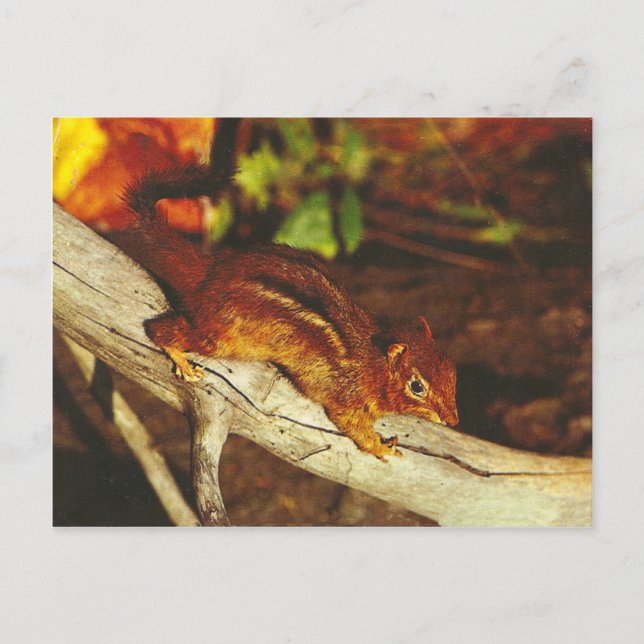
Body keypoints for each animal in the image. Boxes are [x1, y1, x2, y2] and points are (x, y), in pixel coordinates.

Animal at [123, 164, 459, 461]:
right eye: (417, 386)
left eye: (451, 370)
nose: (453, 420)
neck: (372, 362)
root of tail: (210, 272)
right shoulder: (346, 400)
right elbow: (354, 428)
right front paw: (380, 447)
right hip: (221, 338)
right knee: (159, 330)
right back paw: (180, 357)